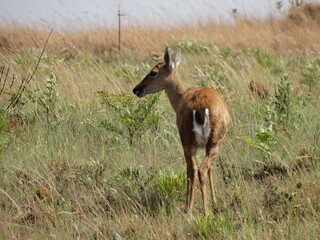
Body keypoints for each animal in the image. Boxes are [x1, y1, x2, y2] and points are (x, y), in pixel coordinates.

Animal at [132, 47, 230, 216]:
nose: (136, 89)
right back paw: (202, 210)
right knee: (200, 169)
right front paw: (214, 201)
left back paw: (193, 209)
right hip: (210, 142)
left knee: (194, 169)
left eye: (153, 72)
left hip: (191, 141)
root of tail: (200, 109)